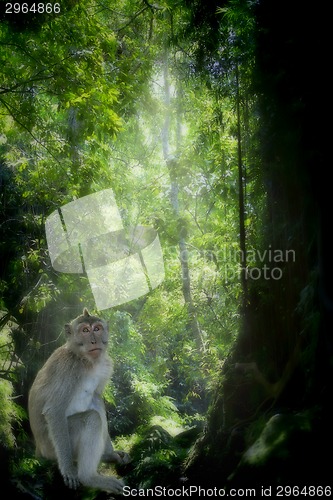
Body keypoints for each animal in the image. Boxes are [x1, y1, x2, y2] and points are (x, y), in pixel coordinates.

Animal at [27, 308, 129, 492]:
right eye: (85, 331)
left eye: (97, 329)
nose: (94, 340)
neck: (85, 360)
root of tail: (38, 448)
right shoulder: (67, 368)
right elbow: (55, 410)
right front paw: (69, 470)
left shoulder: (105, 365)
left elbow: (96, 399)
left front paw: (110, 454)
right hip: (52, 447)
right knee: (92, 418)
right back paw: (89, 478)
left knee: (96, 409)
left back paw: (105, 457)